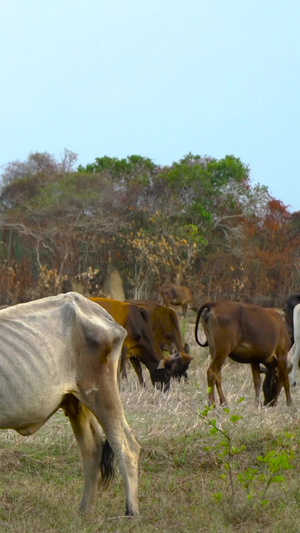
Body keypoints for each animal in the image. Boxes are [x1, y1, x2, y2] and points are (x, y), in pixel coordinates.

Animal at [0, 290, 141, 516]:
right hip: (76, 403)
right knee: (92, 451)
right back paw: (84, 511)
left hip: (102, 394)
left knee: (127, 448)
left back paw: (131, 513)